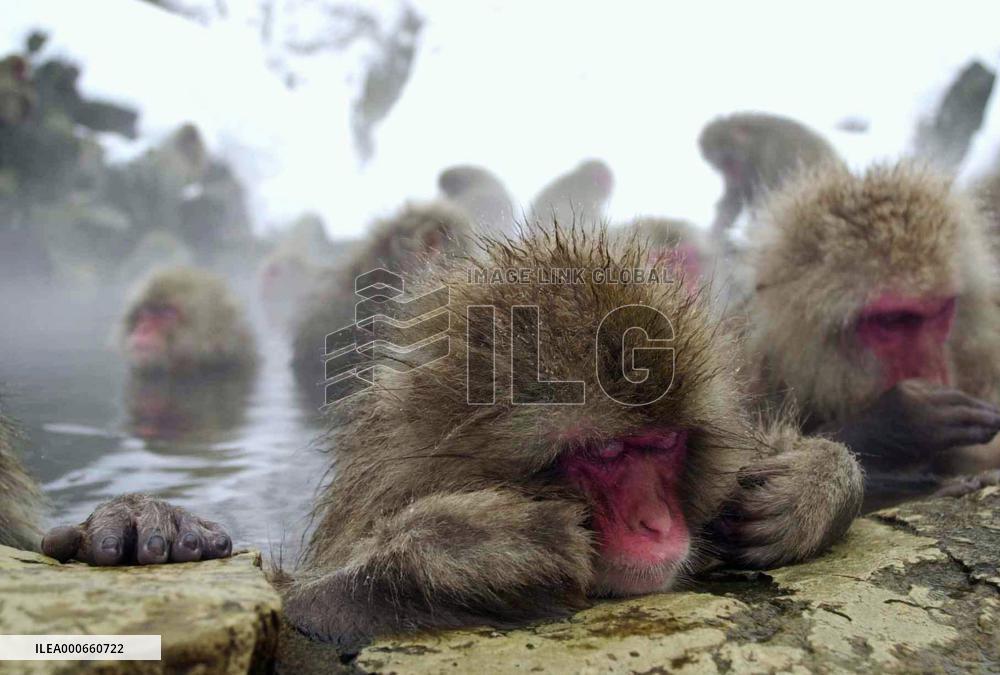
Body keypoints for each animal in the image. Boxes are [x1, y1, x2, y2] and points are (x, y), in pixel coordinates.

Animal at [281, 224, 863, 650]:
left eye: (665, 443)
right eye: (604, 452)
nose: (658, 524)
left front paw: (812, 486)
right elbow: (304, 610)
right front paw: (473, 546)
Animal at [699, 112, 843, 240]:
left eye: (730, 162)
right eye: (722, 166)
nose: (732, 175)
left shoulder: (772, 155)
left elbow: (768, 199)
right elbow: (734, 199)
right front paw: (715, 232)